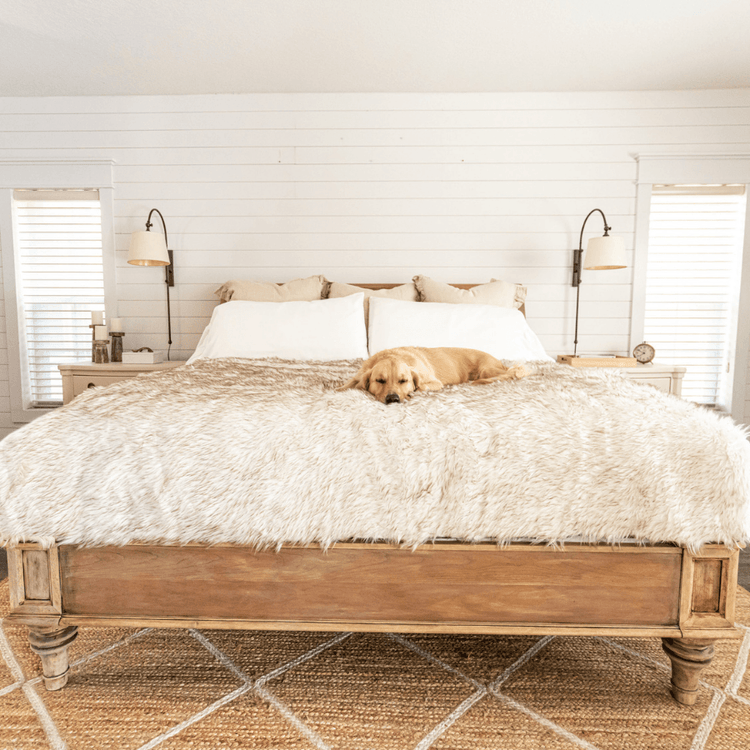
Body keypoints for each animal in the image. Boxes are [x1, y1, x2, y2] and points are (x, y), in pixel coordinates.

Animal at [340, 348, 528, 406]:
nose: (393, 399)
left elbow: (421, 385)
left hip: (487, 370)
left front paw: (413, 392)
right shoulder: (359, 375)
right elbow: (349, 383)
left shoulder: (435, 383)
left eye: (403, 381)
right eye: (379, 381)